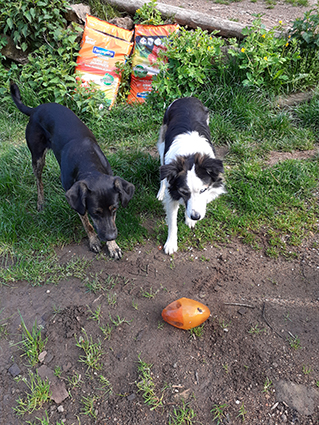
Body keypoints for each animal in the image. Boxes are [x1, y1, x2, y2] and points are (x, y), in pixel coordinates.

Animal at [10, 81, 135, 256]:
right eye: (95, 212)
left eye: (115, 209)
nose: (111, 236)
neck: (89, 164)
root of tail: (35, 109)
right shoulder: (78, 202)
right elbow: (86, 222)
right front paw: (94, 241)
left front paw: (112, 245)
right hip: (37, 156)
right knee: (38, 180)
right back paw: (40, 202)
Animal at [159, 97, 226, 253]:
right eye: (183, 191)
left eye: (203, 190)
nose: (195, 217)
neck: (190, 155)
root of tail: (186, 98)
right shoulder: (172, 193)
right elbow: (172, 222)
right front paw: (171, 243)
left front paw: (189, 219)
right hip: (162, 144)